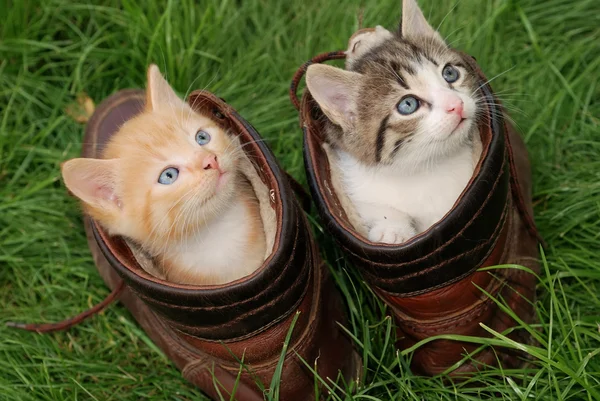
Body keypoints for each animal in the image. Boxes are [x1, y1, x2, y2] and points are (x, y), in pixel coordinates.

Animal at [308, 0, 486, 244]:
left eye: (449, 73)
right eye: (408, 105)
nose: (456, 104)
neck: (423, 168)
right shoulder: (353, 181)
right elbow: (372, 206)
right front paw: (392, 229)